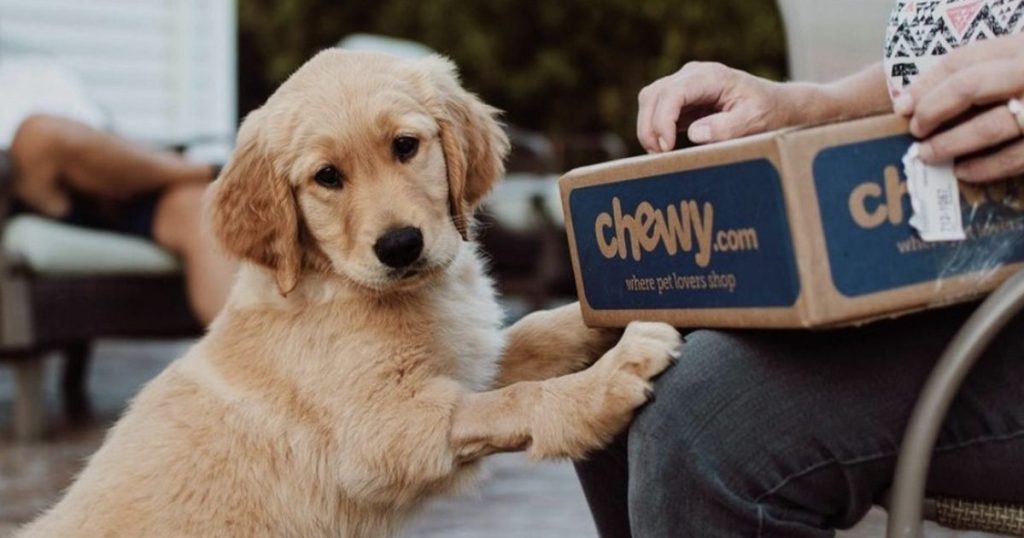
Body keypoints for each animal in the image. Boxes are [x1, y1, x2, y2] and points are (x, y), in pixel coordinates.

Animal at [18, 50, 679, 536]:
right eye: (327, 177)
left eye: (405, 146)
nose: (400, 246)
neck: (339, 280)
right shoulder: (384, 431)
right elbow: (514, 400)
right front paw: (607, 380)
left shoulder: (468, 359)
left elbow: (540, 329)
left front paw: (610, 319)